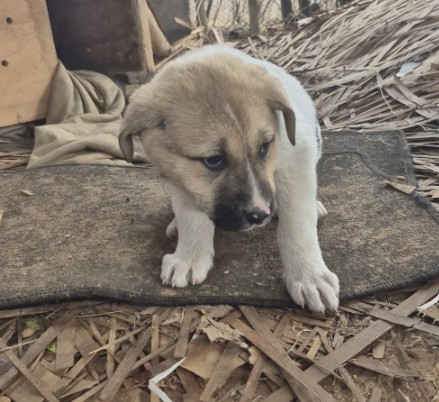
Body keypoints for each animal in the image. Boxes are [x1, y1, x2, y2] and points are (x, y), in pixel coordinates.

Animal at [119, 45, 339, 313]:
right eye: (213, 160)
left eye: (264, 147)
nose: (260, 215)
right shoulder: (182, 177)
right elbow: (191, 214)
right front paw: (190, 256)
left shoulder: (298, 156)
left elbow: (297, 222)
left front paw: (308, 277)